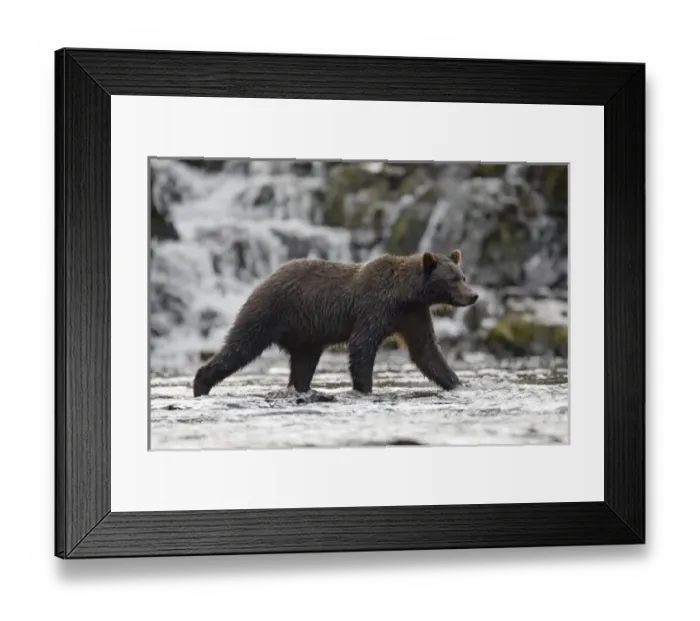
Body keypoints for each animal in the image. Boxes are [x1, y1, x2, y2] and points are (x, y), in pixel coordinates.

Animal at [193, 249, 479, 397]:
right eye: (453, 279)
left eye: (463, 276)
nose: (473, 295)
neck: (406, 295)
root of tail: (265, 278)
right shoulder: (374, 308)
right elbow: (362, 345)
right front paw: (364, 389)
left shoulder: (413, 316)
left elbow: (426, 351)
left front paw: (456, 383)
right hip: (269, 312)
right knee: (240, 347)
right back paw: (201, 384)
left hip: (305, 336)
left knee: (302, 365)